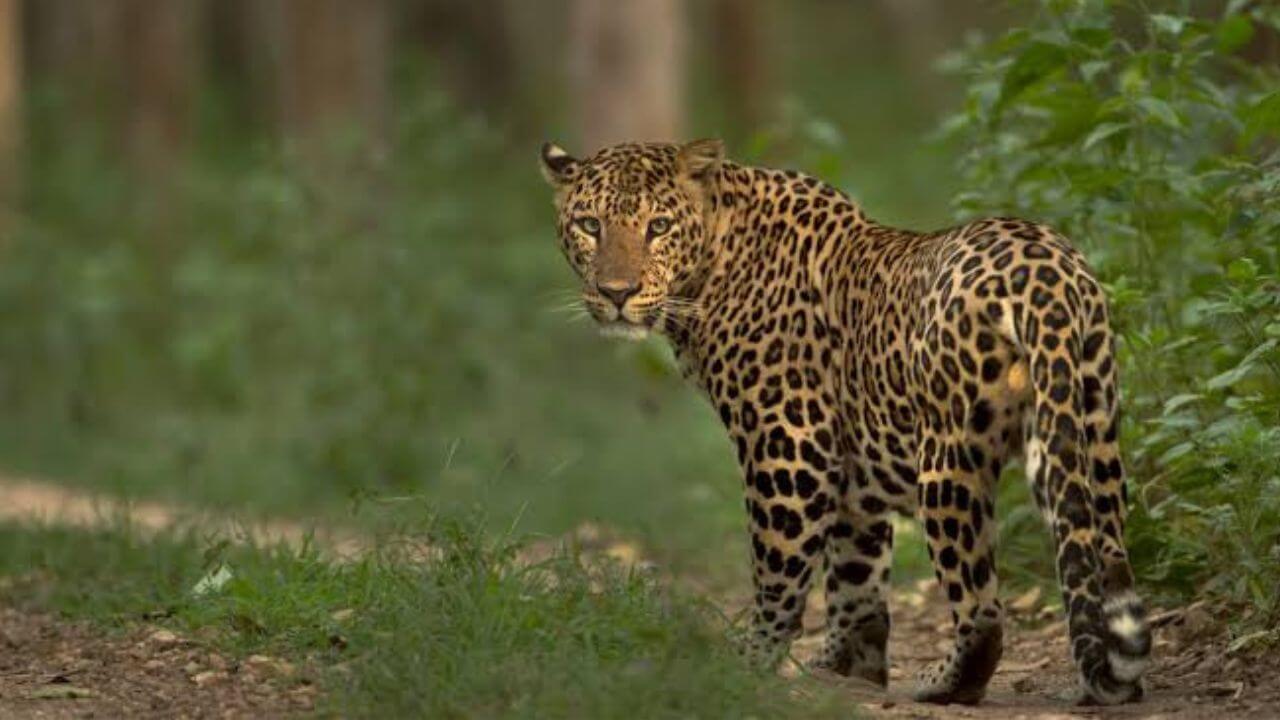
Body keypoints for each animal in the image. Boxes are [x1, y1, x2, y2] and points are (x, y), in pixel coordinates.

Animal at [538, 138, 1152, 706]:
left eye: (658, 226)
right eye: (591, 225)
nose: (616, 293)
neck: (713, 260)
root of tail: (1047, 274)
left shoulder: (789, 445)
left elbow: (779, 567)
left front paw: (751, 661)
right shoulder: (856, 468)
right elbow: (856, 573)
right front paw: (848, 668)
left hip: (948, 460)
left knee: (981, 608)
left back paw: (945, 683)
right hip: (1088, 428)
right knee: (1099, 550)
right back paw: (1112, 680)